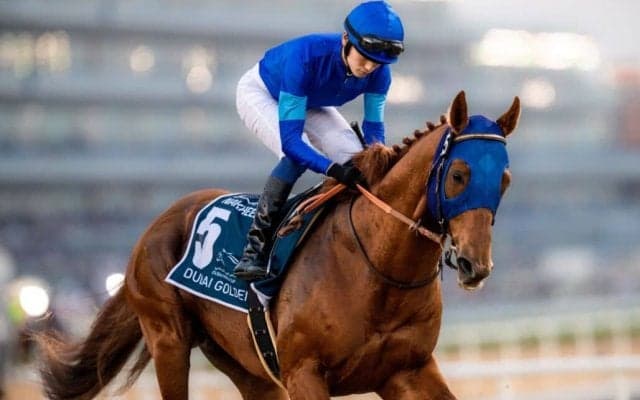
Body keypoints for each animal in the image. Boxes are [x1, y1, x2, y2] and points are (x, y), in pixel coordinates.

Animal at [36, 91, 520, 400]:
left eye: (504, 179)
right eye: (458, 174)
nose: (476, 264)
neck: (379, 269)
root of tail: (154, 227)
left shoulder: (407, 370)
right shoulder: (305, 374)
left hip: (246, 367)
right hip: (168, 340)